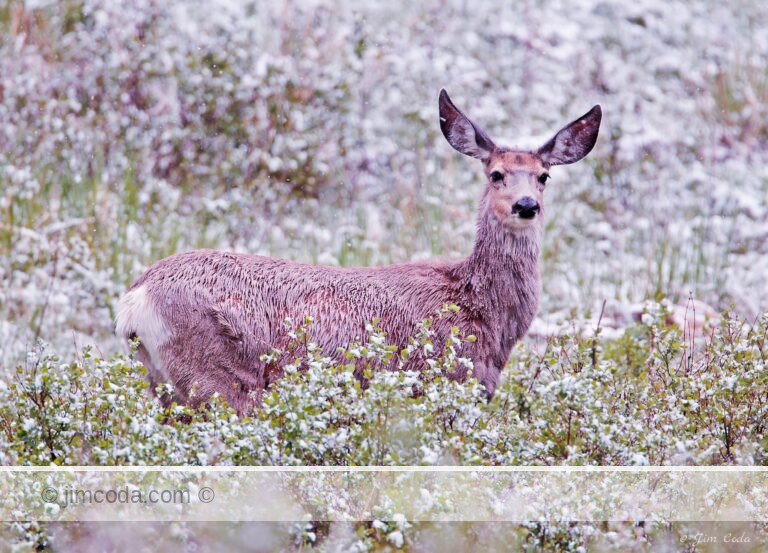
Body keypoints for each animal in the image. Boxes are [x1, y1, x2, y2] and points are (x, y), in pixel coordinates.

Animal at [115, 90, 601, 413]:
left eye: (544, 176)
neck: (478, 305)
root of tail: (134, 300)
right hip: (217, 377)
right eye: (496, 174)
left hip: (163, 384)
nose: (526, 205)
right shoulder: (444, 382)